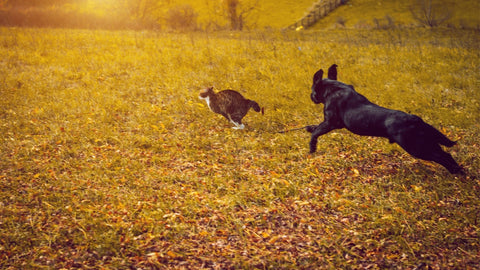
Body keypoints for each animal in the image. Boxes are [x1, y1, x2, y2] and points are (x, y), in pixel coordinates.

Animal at [306, 64, 464, 174]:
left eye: (312, 90)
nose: (311, 97)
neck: (333, 88)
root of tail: (415, 119)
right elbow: (315, 128)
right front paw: (309, 128)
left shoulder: (330, 123)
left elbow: (316, 133)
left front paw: (312, 148)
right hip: (426, 143)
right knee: (446, 155)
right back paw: (459, 172)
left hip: (416, 147)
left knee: (442, 157)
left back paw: (456, 172)